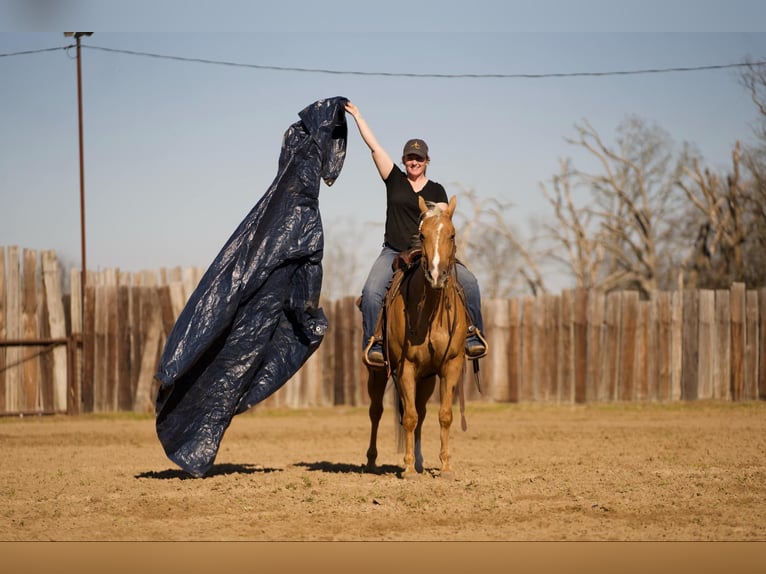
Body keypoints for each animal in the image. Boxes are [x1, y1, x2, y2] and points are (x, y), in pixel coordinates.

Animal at [366, 196, 468, 480]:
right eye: (422, 235)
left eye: (452, 234)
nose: (436, 275)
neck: (430, 313)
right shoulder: (406, 368)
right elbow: (408, 417)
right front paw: (409, 468)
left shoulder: (450, 366)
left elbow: (444, 415)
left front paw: (445, 467)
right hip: (378, 373)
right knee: (376, 411)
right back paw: (371, 461)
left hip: (427, 379)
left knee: (422, 413)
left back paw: (422, 462)